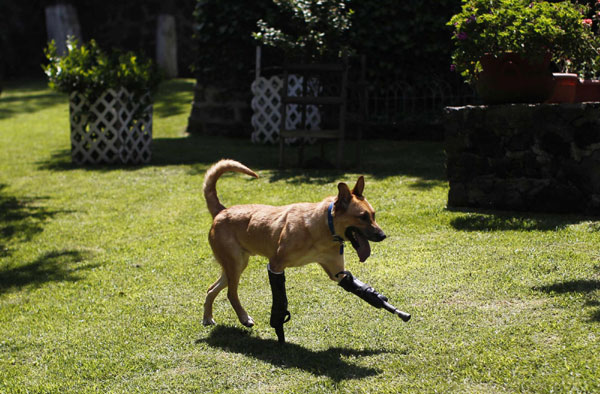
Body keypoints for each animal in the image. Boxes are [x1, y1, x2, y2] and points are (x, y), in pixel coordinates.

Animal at [204, 159, 386, 328]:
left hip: (236, 265)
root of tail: (221, 211)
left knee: (211, 289)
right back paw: (243, 317)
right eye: (363, 217)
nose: (383, 236)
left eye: (373, 215)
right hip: (234, 265)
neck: (324, 226)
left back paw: (207, 318)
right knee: (231, 294)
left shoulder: (338, 272)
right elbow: (279, 297)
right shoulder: (275, 264)